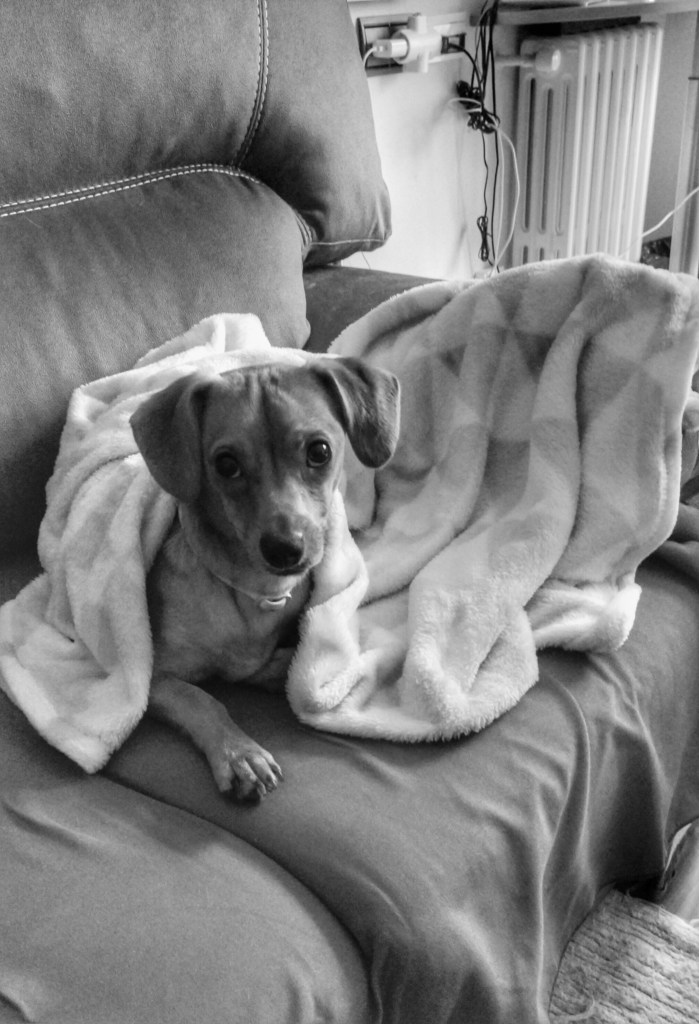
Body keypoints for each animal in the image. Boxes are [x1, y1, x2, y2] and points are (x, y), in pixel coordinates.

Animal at [130, 356, 400, 802]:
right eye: (225, 464)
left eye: (319, 451)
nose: (285, 549)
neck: (256, 593)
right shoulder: (152, 678)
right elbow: (202, 699)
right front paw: (239, 754)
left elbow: (281, 665)